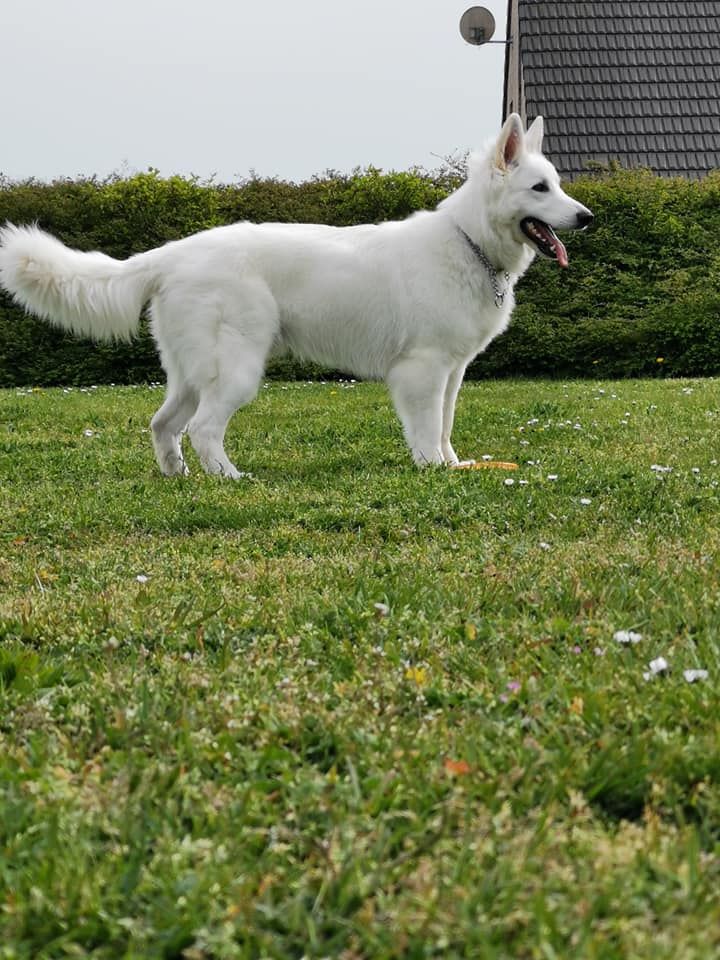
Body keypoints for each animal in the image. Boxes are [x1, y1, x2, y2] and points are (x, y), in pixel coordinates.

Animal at [0, 114, 592, 477]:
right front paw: (430, 468)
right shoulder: (422, 371)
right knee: (203, 429)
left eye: (558, 185)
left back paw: (180, 477)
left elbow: (445, 427)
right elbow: (426, 430)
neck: (469, 241)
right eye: (540, 189)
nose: (587, 217)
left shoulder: (451, 372)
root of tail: (172, 253)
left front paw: (450, 465)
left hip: (191, 373)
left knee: (164, 425)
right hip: (237, 370)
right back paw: (230, 477)